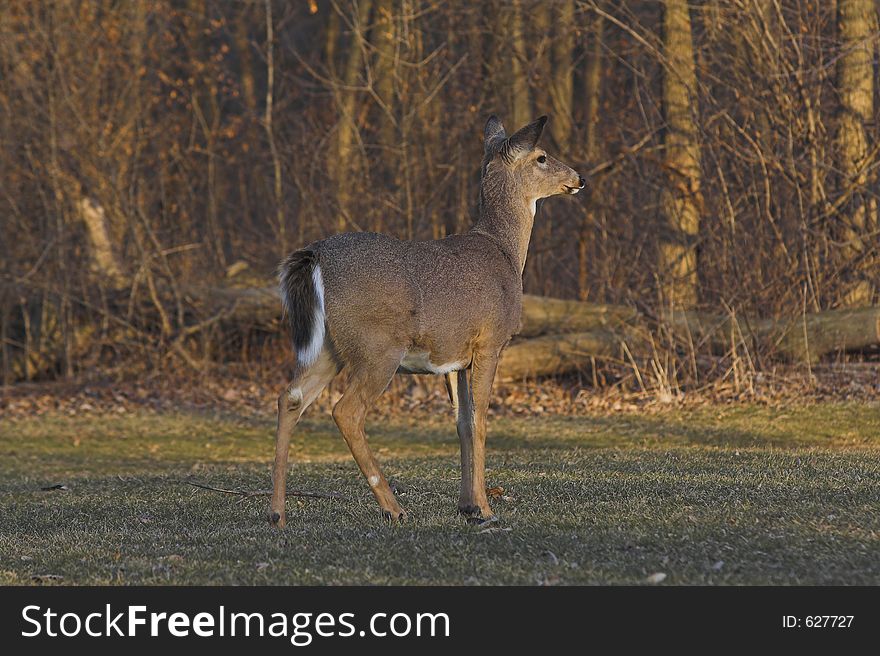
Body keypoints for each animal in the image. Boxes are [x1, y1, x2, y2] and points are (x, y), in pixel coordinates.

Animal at [268, 115, 584, 528]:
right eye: (542, 157)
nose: (579, 177)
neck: (506, 253)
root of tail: (315, 256)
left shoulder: (456, 357)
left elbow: (462, 422)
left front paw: (467, 506)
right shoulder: (491, 340)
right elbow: (480, 419)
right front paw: (486, 509)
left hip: (329, 347)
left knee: (290, 397)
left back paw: (276, 512)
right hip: (378, 346)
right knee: (346, 411)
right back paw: (393, 508)